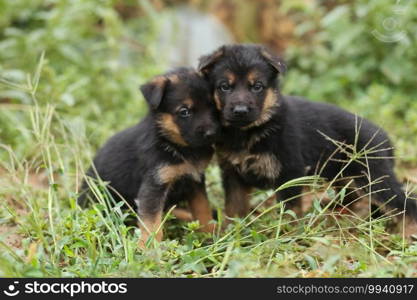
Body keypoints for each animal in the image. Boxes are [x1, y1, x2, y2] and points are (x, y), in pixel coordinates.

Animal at [79, 68, 219, 248]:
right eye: (184, 112)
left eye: (213, 106)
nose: (212, 134)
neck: (173, 144)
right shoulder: (153, 185)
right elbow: (152, 222)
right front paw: (149, 248)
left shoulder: (195, 180)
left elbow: (203, 210)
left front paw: (210, 234)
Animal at [197, 44, 416, 223]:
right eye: (224, 86)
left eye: (257, 87)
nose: (240, 111)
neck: (249, 132)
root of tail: (385, 138)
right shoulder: (232, 175)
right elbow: (233, 209)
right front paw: (232, 233)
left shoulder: (289, 173)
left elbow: (290, 213)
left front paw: (287, 236)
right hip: (348, 179)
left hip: (375, 179)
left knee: (405, 206)